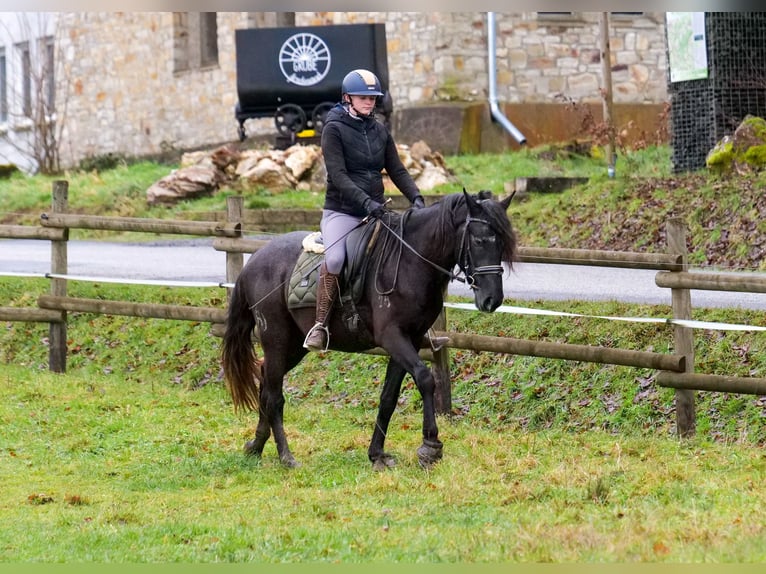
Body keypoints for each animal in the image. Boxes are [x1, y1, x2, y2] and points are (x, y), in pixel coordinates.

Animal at [224, 191, 520, 470]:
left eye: (502, 244)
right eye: (479, 241)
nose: (492, 300)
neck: (411, 262)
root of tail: (255, 260)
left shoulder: (410, 340)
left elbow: (388, 396)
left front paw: (376, 454)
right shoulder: (393, 337)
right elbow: (425, 379)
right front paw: (430, 446)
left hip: (294, 346)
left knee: (265, 380)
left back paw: (257, 445)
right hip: (276, 338)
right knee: (274, 395)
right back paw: (286, 456)